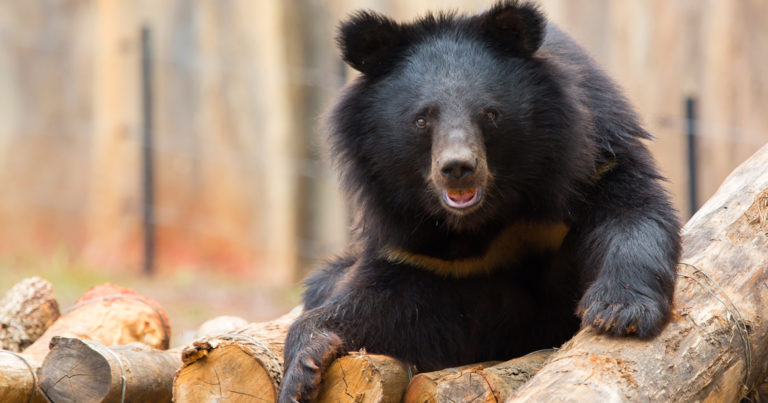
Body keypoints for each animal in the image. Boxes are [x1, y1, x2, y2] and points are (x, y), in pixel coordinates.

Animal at [280, 1, 680, 402]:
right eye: (421, 119)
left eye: (489, 113)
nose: (458, 168)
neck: (486, 216)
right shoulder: (418, 244)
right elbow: (386, 303)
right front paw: (302, 371)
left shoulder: (592, 158)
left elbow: (629, 212)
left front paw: (619, 312)